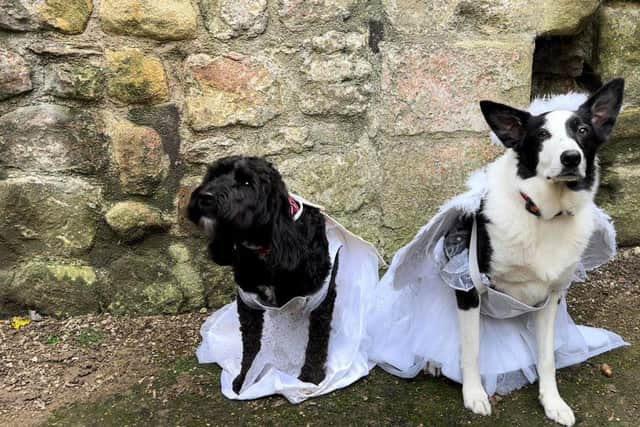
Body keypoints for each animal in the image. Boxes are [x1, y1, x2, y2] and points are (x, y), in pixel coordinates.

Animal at [188, 156, 338, 394]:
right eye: (213, 176)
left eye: (247, 183)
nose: (205, 197)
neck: (264, 247)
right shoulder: (248, 301)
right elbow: (250, 345)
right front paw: (246, 378)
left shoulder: (320, 298)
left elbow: (317, 340)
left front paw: (310, 378)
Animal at [452, 79, 624, 424]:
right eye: (542, 134)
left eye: (583, 130)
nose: (571, 158)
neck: (545, 215)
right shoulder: (469, 287)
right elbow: (472, 350)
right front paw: (474, 395)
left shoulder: (551, 297)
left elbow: (546, 358)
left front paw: (553, 402)